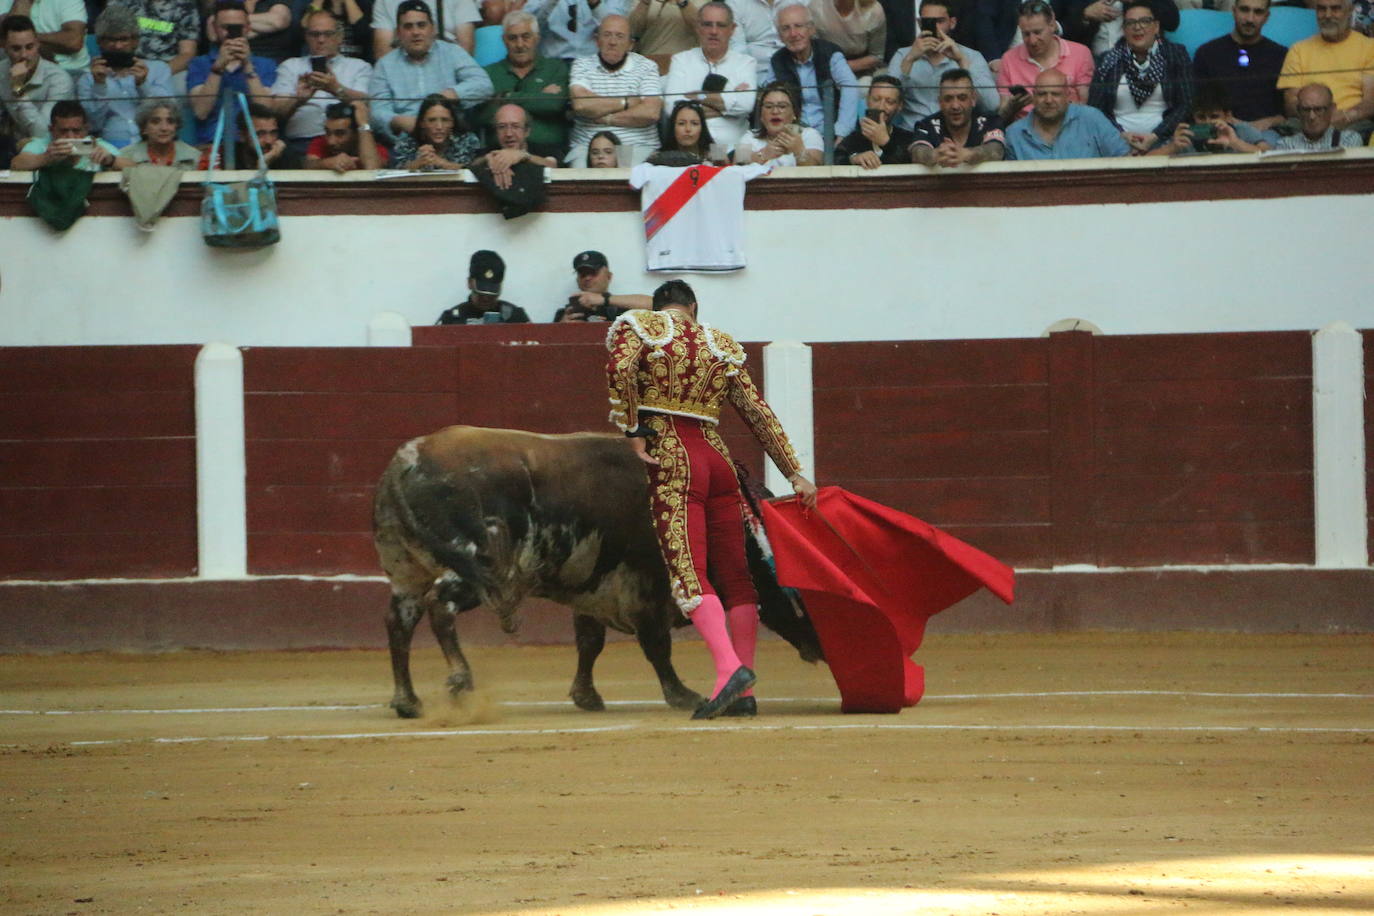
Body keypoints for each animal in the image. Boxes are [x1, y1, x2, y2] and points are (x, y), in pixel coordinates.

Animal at [370, 425, 818, 719]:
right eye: (797, 592)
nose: (818, 648)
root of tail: (405, 462)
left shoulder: (593, 589)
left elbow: (590, 643)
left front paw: (587, 696)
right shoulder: (646, 587)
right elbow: (656, 647)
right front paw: (683, 695)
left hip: (406, 571)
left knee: (399, 620)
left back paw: (407, 701)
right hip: (474, 565)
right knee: (439, 607)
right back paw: (460, 682)